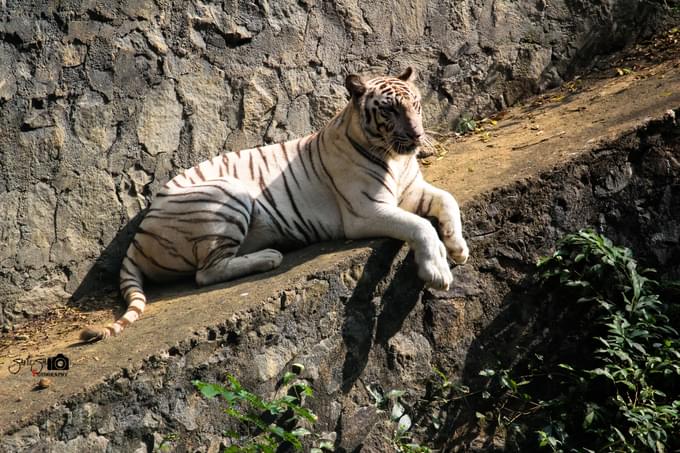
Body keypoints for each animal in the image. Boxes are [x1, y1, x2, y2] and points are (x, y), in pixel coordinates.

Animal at [81, 67, 468, 340]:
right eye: (389, 110)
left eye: (415, 105)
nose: (417, 134)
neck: (396, 159)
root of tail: (136, 236)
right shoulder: (366, 211)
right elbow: (419, 225)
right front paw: (437, 270)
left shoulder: (412, 189)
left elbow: (448, 200)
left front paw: (458, 247)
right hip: (228, 193)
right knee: (206, 273)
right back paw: (268, 257)